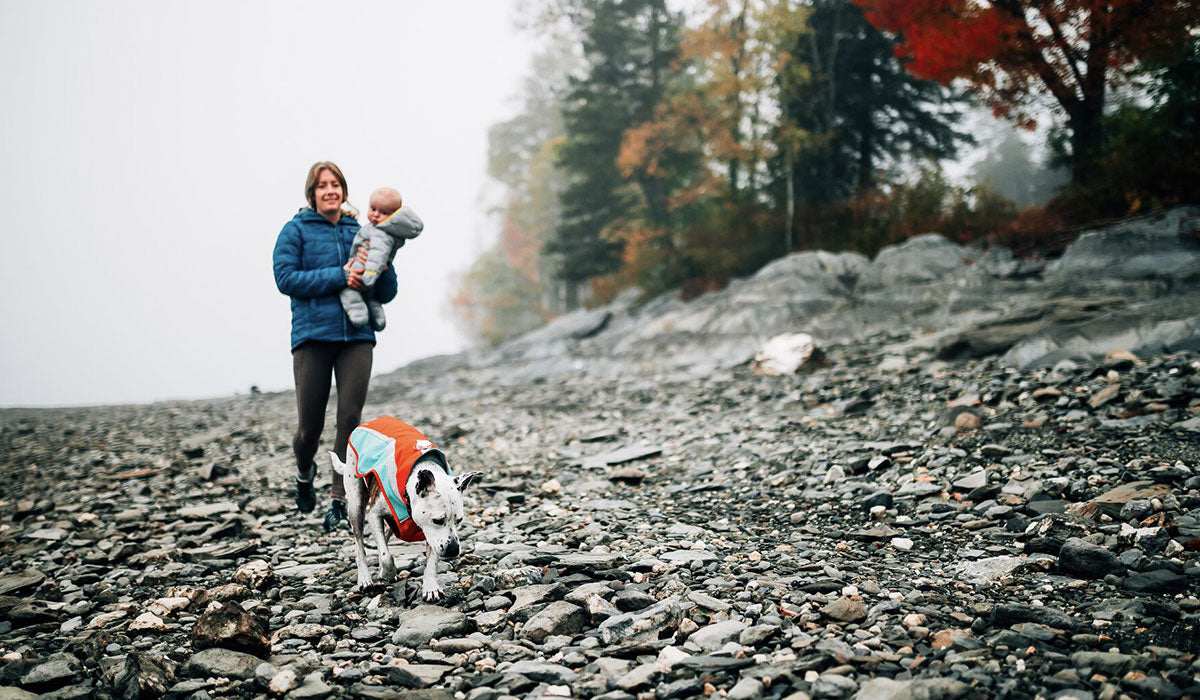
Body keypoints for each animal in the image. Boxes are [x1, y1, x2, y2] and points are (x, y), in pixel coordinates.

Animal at [331, 415, 480, 602]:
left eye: (459, 520)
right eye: (438, 520)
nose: (453, 549)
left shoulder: (433, 535)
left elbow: (432, 560)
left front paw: (430, 586)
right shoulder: (374, 514)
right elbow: (386, 555)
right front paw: (387, 572)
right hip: (355, 503)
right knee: (360, 544)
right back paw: (365, 578)